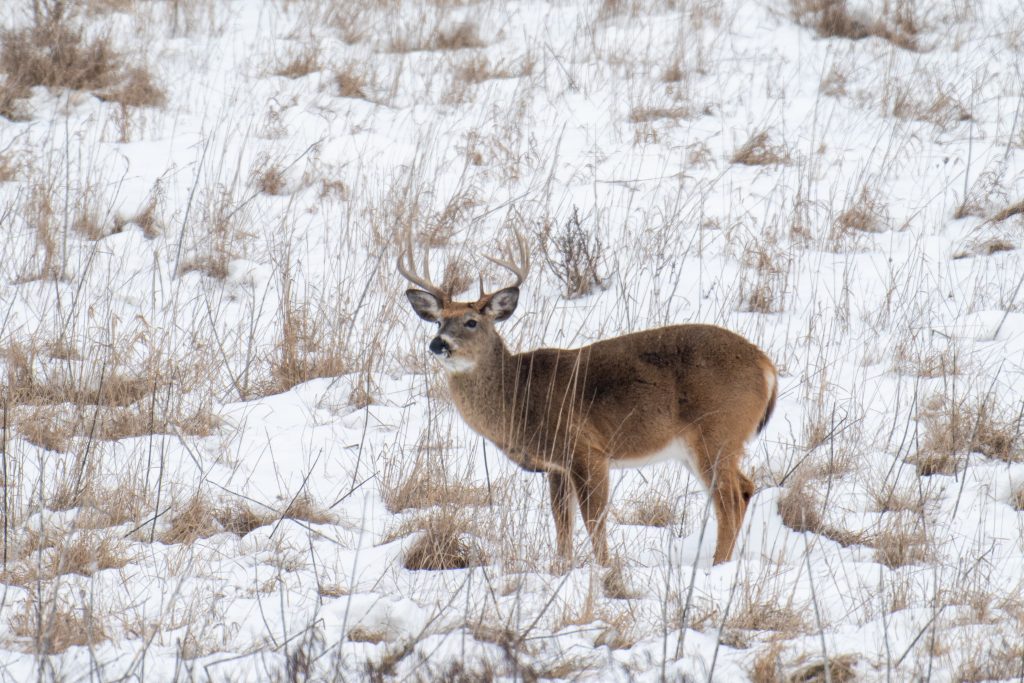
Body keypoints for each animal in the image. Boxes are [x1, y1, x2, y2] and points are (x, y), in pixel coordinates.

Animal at [398, 229, 777, 567]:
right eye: (438, 322)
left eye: (472, 321)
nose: (439, 344)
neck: (519, 395)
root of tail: (766, 365)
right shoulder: (556, 466)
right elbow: (561, 521)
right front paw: (562, 566)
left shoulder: (585, 449)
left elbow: (594, 518)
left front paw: (604, 568)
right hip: (701, 445)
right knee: (745, 488)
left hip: (716, 431)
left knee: (730, 499)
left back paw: (717, 565)